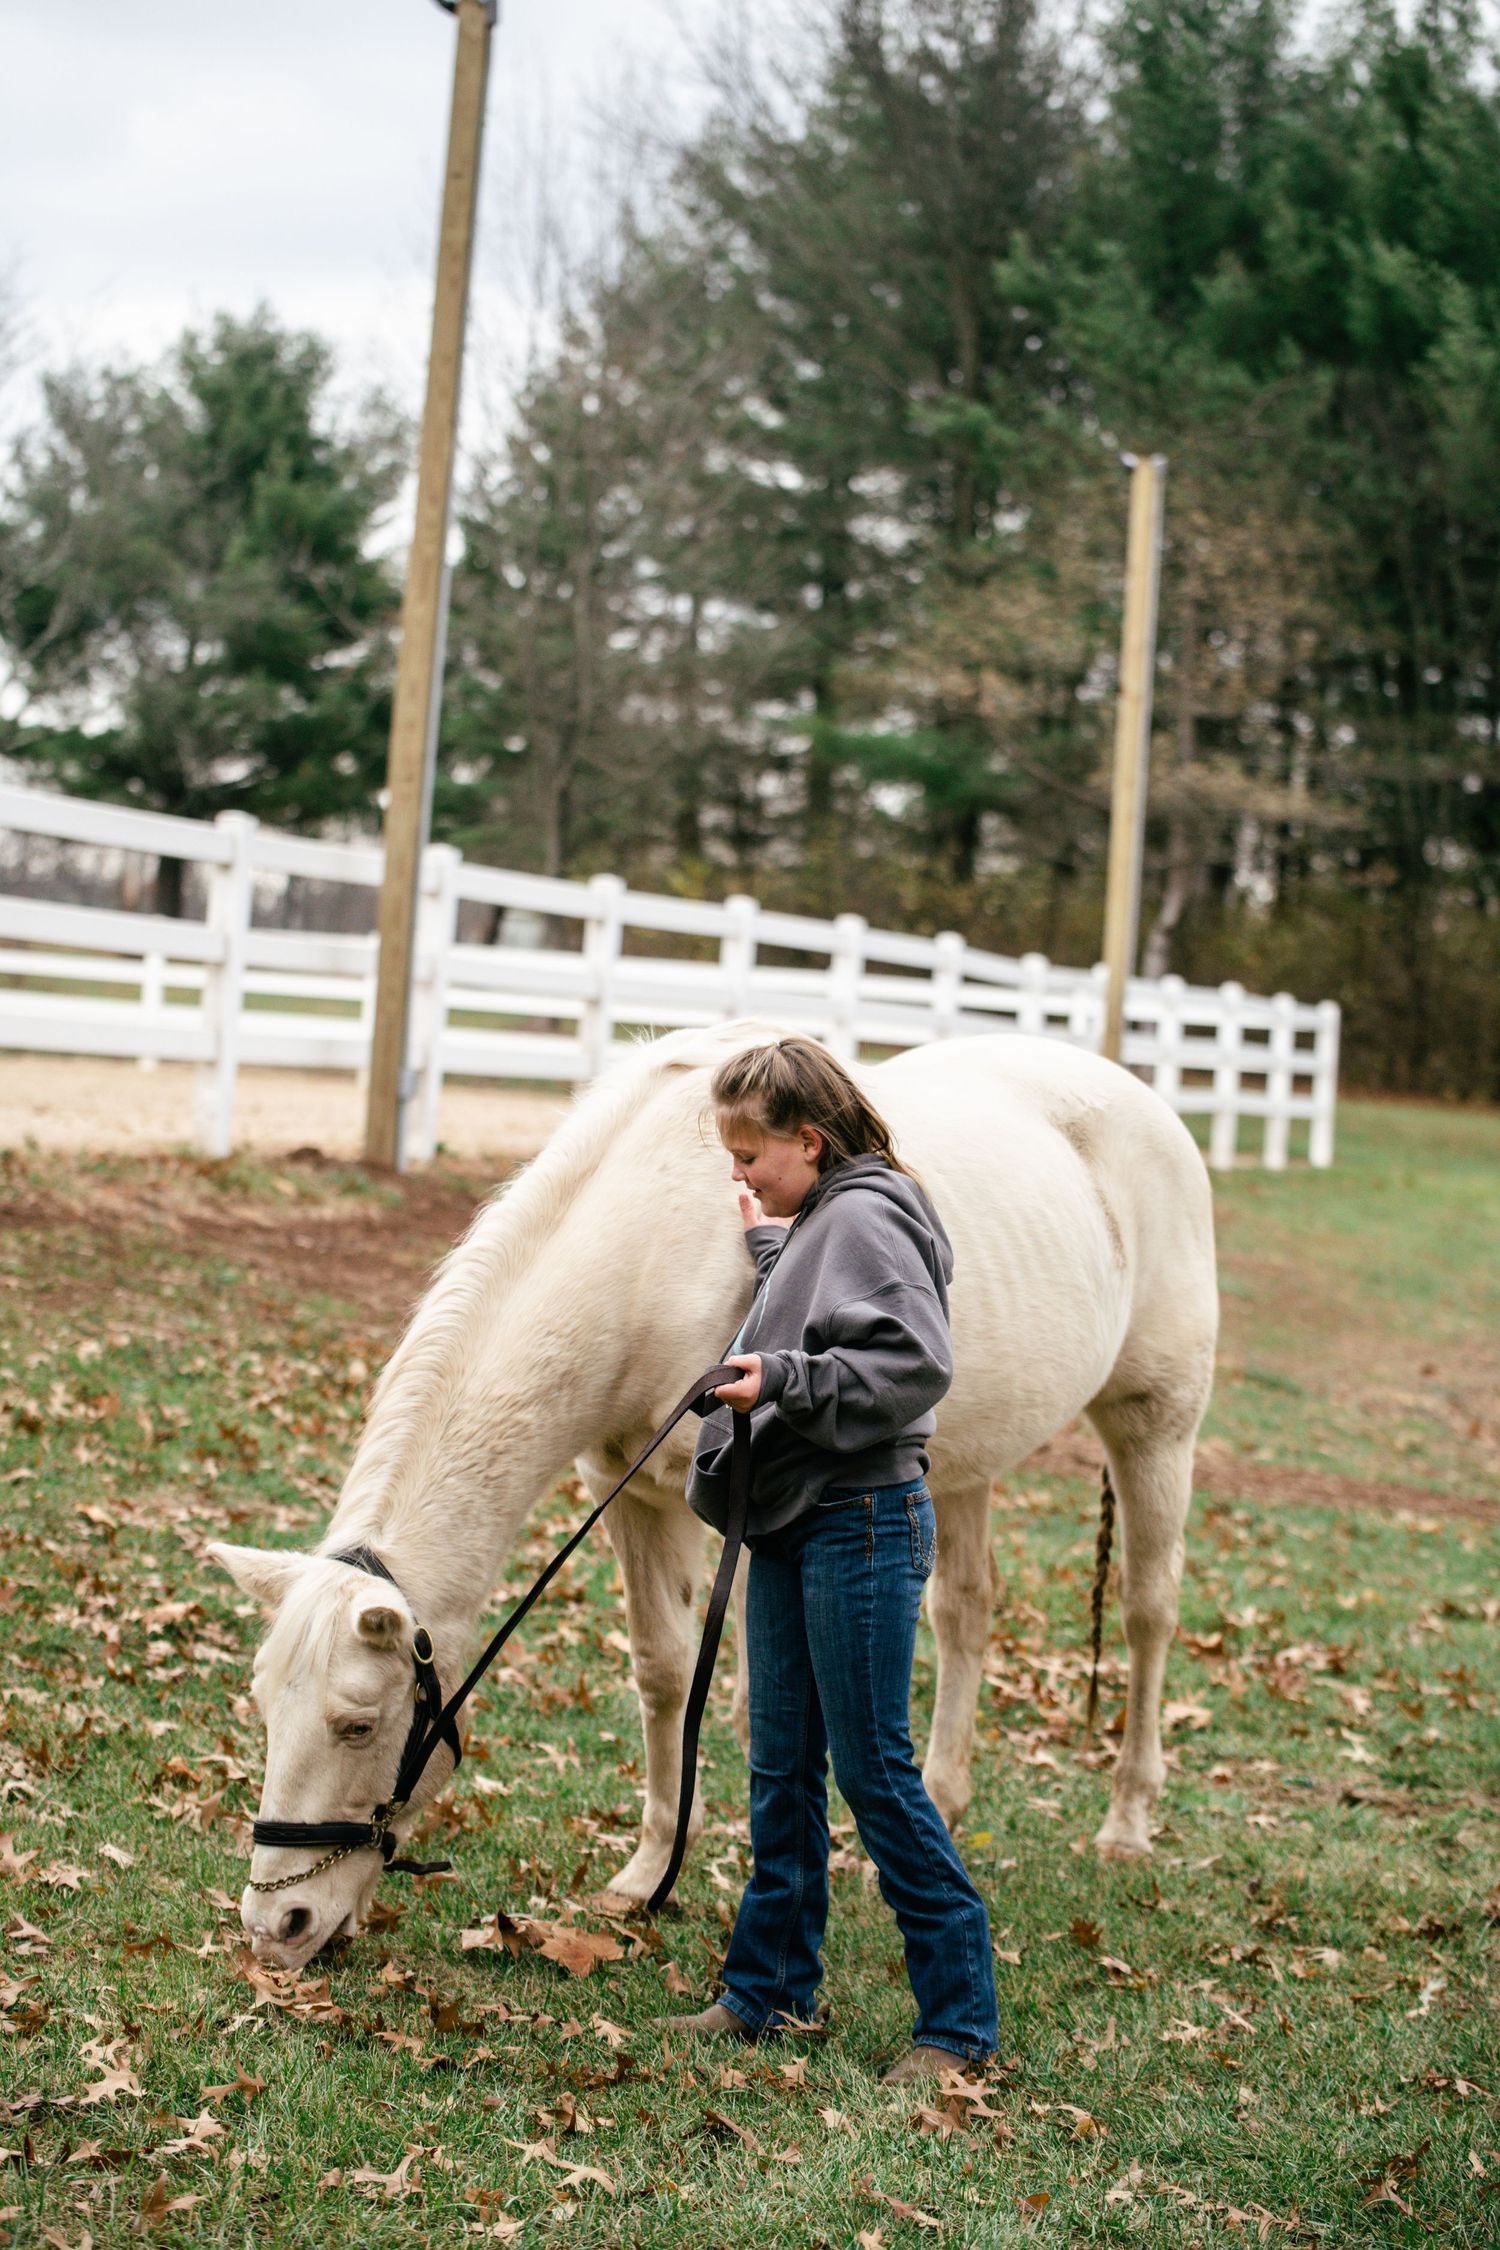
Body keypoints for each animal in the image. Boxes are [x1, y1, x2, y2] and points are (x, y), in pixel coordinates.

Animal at [208, 1018, 1218, 1972]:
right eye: (261, 1706)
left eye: (358, 1724)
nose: (276, 1925)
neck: (646, 1249)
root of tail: (1147, 1104)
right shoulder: (633, 1497)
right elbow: (665, 1673)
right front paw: (653, 1868)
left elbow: (760, 1696)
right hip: (964, 1462)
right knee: (966, 1612)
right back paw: (943, 1798)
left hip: (1155, 1427)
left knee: (1148, 1611)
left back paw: (1127, 1823)